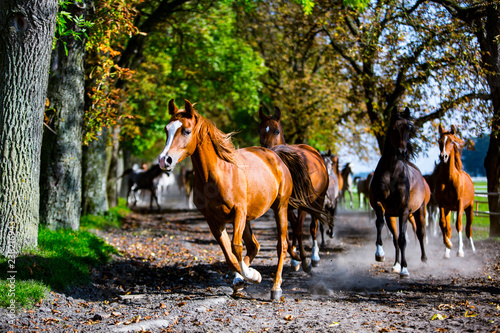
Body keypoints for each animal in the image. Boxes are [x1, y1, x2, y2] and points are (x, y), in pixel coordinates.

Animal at [158, 98, 318, 298]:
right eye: (167, 130)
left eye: (186, 131)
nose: (164, 160)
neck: (218, 174)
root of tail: (276, 156)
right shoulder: (213, 219)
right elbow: (228, 254)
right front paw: (247, 277)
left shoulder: (238, 212)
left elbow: (236, 246)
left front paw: (253, 276)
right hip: (249, 218)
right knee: (254, 246)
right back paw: (242, 280)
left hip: (280, 208)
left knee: (281, 245)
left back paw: (276, 287)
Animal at [258, 107, 332, 272]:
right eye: (260, 132)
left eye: (277, 131)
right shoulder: (284, 206)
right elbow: (287, 231)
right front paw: (294, 257)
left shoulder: (304, 205)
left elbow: (298, 230)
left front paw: (304, 260)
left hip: (319, 199)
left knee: (313, 227)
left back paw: (314, 257)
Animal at [368, 107, 430, 276]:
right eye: (394, 129)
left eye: (408, 129)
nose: (402, 152)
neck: (392, 171)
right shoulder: (380, 205)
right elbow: (380, 224)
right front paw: (380, 255)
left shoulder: (403, 210)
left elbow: (404, 240)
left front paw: (405, 269)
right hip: (392, 216)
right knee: (395, 238)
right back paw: (396, 265)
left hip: (419, 211)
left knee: (420, 234)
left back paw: (424, 260)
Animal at [434, 124, 476, 256]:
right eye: (439, 141)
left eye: (452, 141)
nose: (443, 156)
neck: (449, 179)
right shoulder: (442, 204)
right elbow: (443, 224)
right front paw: (448, 244)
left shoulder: (460, 203)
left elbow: (459, 225)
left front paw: (460, 251)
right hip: (449, 209)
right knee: (449, 228)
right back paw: (447, 252)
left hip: (469, 208)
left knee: (468, 228)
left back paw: (473, 249)